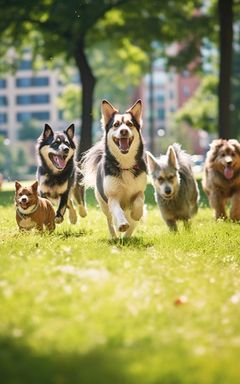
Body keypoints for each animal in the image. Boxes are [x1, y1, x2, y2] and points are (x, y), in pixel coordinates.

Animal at [81, 99, 147, 237]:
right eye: (116, 125)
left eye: (129, 124)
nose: (124, 131)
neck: (125, 165)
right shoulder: (112, 196)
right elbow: (117, 210)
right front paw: (121, 224)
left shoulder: (140, 191)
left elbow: (138, 202)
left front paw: (136, 213)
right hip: (103, 203)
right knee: (110, 219)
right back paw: (115, 235)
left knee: (132, 222)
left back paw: (127, 235)